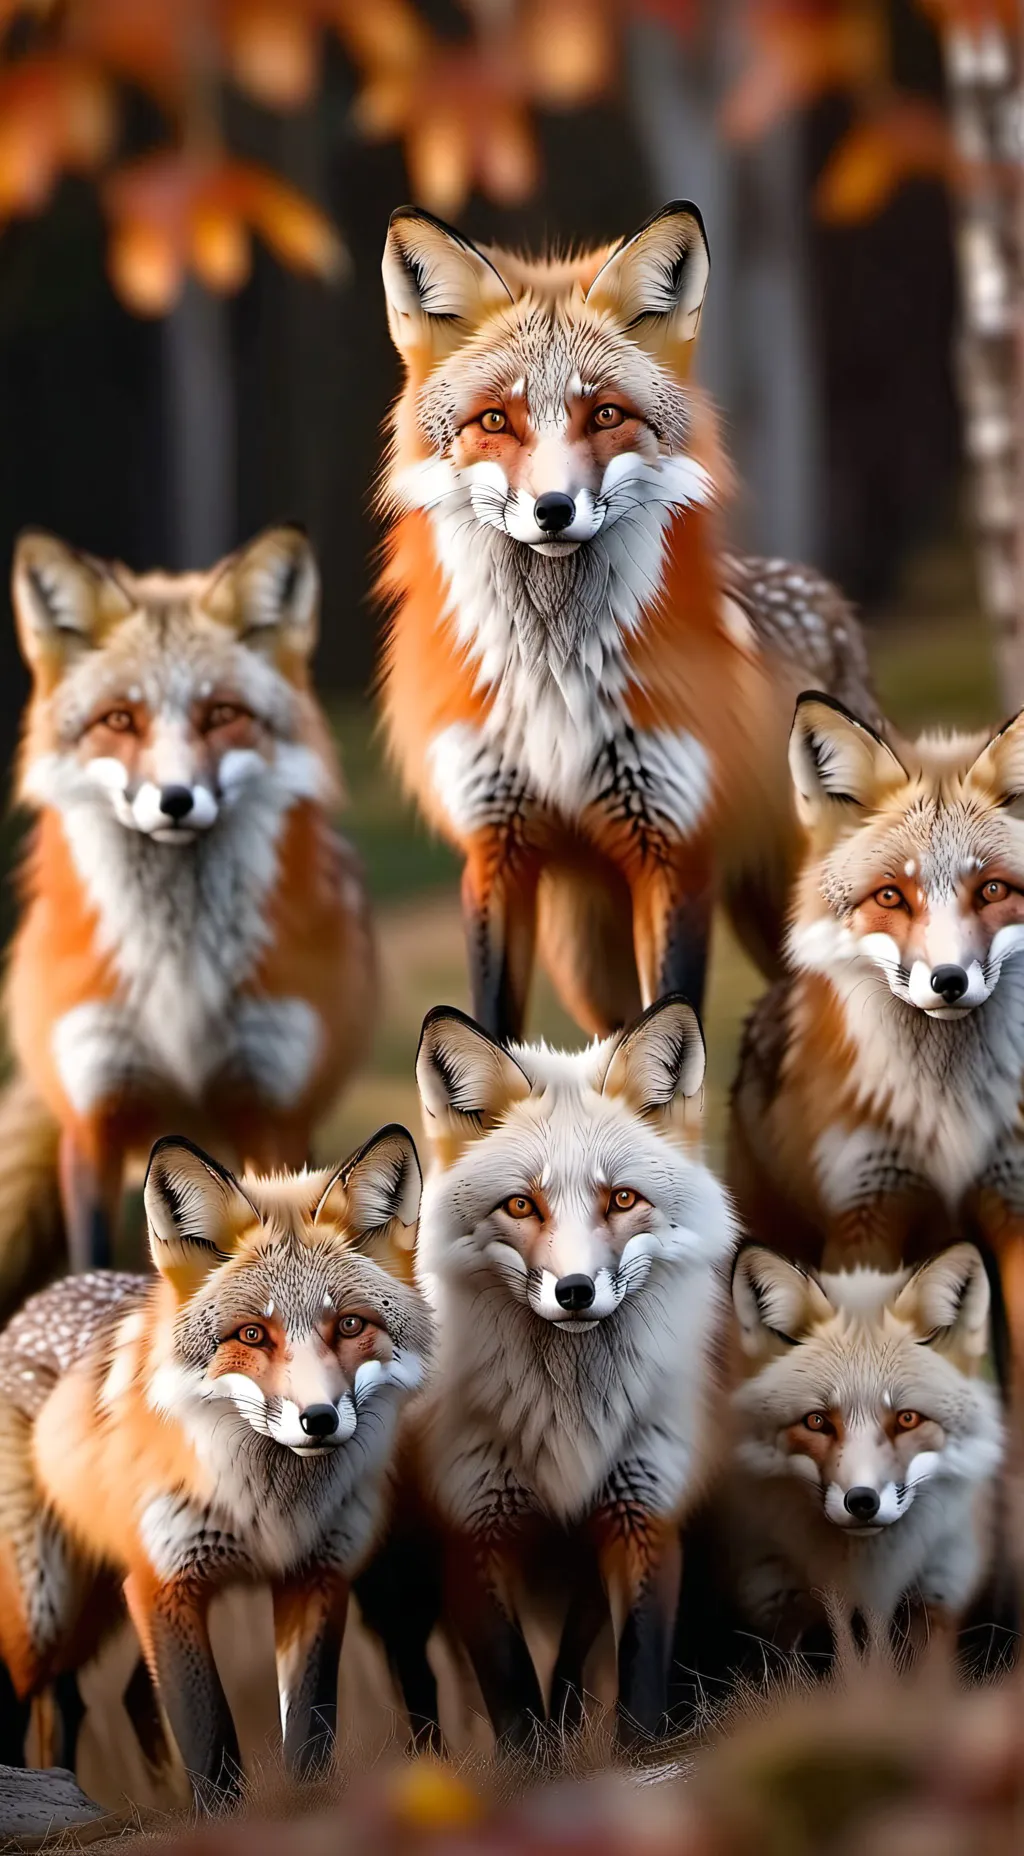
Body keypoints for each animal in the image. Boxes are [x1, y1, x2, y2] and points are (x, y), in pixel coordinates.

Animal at [0, 1127, 431, 1791]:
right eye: (252, 1335)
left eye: (349, 1326)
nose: (319, 1420)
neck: (269, 1508)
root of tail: (37, 1300)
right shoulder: (164, 1583)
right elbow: (211, 1746)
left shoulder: (317, 1575)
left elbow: (308, 1741)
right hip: (42, 1611)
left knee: (109, 1699)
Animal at [5, 523, 376, 1282]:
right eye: (120, 719)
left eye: (221, 715)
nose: (175, 800)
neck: (177, 977)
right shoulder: (94, 1116)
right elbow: (91, 1261)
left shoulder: (272, 1109)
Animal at [377, 199, 876, 1043]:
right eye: (495, 420)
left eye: (605, 414)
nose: (553, 510)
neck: (552, 675)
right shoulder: (495, 852)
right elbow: (493, 1030)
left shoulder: (672, 852)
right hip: (583, 958)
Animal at [380, 994, 737, 1750]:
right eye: (521, 1204)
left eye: (622, 1199)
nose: (575, 1292)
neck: (568, 1418)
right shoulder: (472, 1527)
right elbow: (513, 1694)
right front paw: (529, 1764)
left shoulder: (641, 1510)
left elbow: (639, 1675)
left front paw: (635, 1749)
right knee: (416, 1685)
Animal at [728, 693, 1024, 1351]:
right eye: (891, 896)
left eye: (993, 890)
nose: (949, 981)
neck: (947, 1109)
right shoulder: (864, 1214)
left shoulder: (1013, 1204)